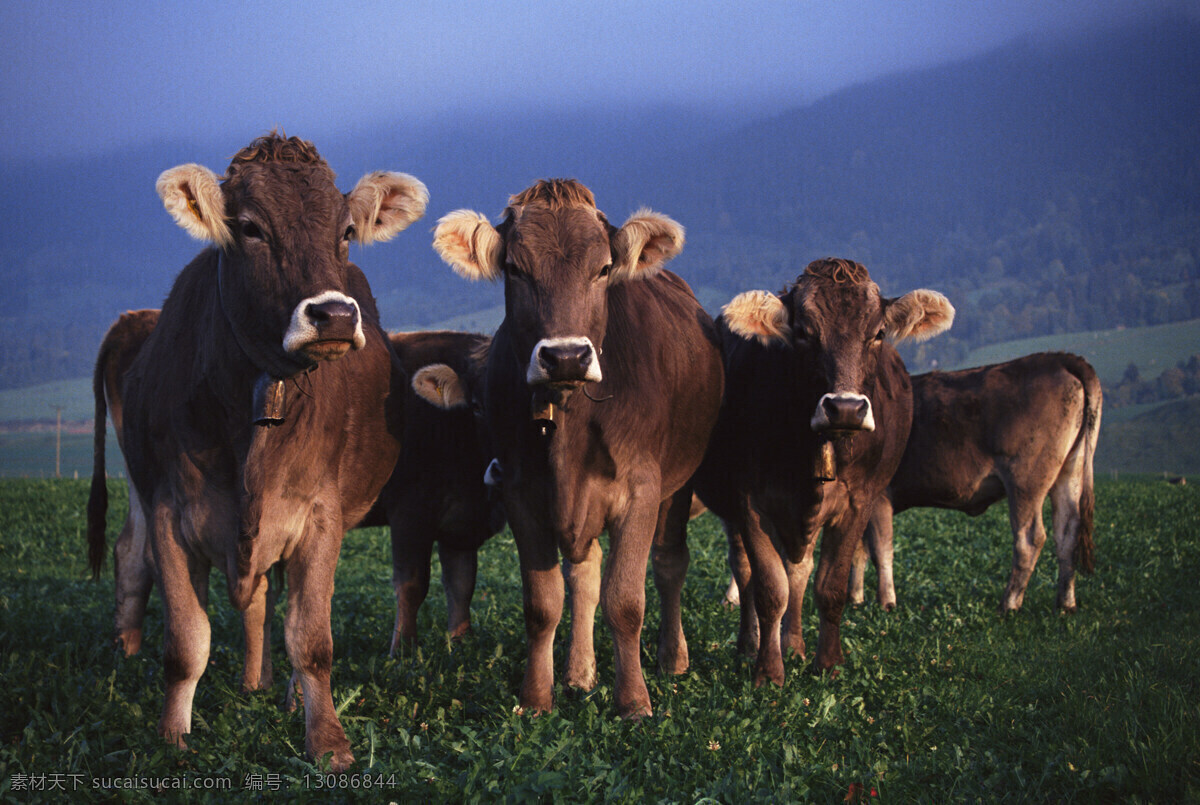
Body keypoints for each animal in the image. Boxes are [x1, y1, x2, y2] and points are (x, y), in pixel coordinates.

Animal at [94, 133, 432, 772]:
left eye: (346, 230)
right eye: (250, 227)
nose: (334, 315)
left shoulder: (320, 517)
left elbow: (312, 638)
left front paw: (327, 741)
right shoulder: (170, 511)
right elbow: (186, 640)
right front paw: (171, 738)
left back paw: (274, 688)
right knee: (136, 559)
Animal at [432, 177, 720, 719]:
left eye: (603, 268)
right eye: (516, 269)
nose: (565, 356)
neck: (569, 420)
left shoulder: (641, 490)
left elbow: (625, 600)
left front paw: (634, 701)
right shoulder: (521, 491)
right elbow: (544, 603)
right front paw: (536, 697)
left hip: (680, 482)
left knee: (669, 564)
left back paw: (672, 659)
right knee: (584, 576)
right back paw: (579, 673)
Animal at [696, 260, 955, 686]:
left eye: (878, 333)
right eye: (803, 332)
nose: (845, 408)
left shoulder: (858, 503)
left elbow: (829, 586)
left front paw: (828, 663)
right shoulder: (750, 503)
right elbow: (770, 589)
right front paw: (768, 671)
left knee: (799, 572)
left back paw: (794, 645)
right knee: (747, 571)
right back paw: (750, 645)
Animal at [849, 350, 1099, 611]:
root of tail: (1057, 358)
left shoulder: (879, 497)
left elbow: (880, 550)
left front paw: (886, 603)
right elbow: (857, 550)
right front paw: (854, 599)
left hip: (1025, 481)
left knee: (1029, 539)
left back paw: (1009, 603)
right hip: (1070, 472)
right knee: (1067, 534)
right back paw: (1065, 603)